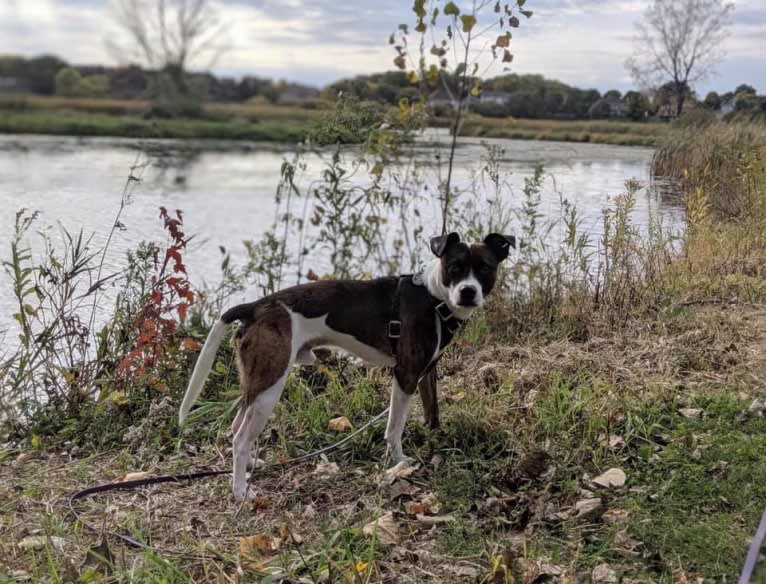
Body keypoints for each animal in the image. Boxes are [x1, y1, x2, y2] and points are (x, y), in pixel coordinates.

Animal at [179, 230, 516, 500]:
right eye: (454, 268)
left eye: (485, 269)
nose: (468, 292)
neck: (434, 298)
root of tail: (256, 307)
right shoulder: (405, 374)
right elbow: (394, 427)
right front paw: (398, 461)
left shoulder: (427, 372)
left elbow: (432, 414)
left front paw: (436, 444)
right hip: (270, 384)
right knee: (239, 438)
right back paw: (240, 492)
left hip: (258, 382)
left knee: (236, 426)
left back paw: (250, 464)